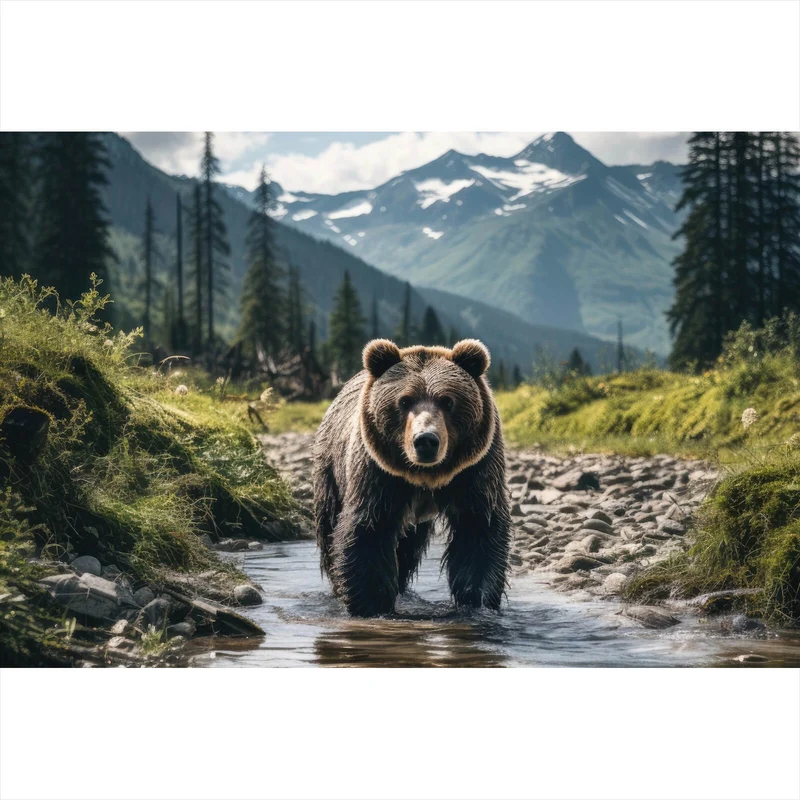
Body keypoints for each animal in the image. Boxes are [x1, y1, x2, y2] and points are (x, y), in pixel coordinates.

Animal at [312, 338, 511, 617]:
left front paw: (479, 602)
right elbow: (369, 530)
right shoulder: (378, 473)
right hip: (330, 468)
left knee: (407, 547)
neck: (425, 477)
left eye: (447, 401)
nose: (426, 440)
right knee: (329, 525)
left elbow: (478, 531)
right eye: (404, 401)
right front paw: (372, 605)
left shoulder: (476, 470)